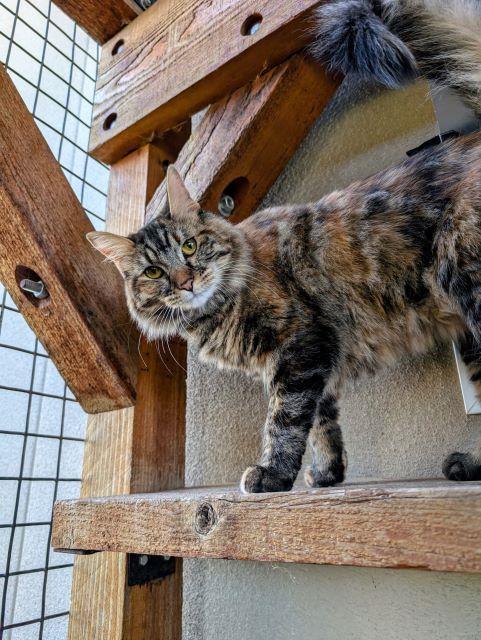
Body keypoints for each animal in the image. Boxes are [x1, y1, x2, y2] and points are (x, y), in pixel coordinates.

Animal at [86, 0, 480, 496]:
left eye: (190, 247)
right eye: (153, 272)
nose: (185, 280)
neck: (220, 306)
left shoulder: (298, 349)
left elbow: (286, 421)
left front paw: (272, 474)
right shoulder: (314, 365)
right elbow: (322, 424)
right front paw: (327, 474)